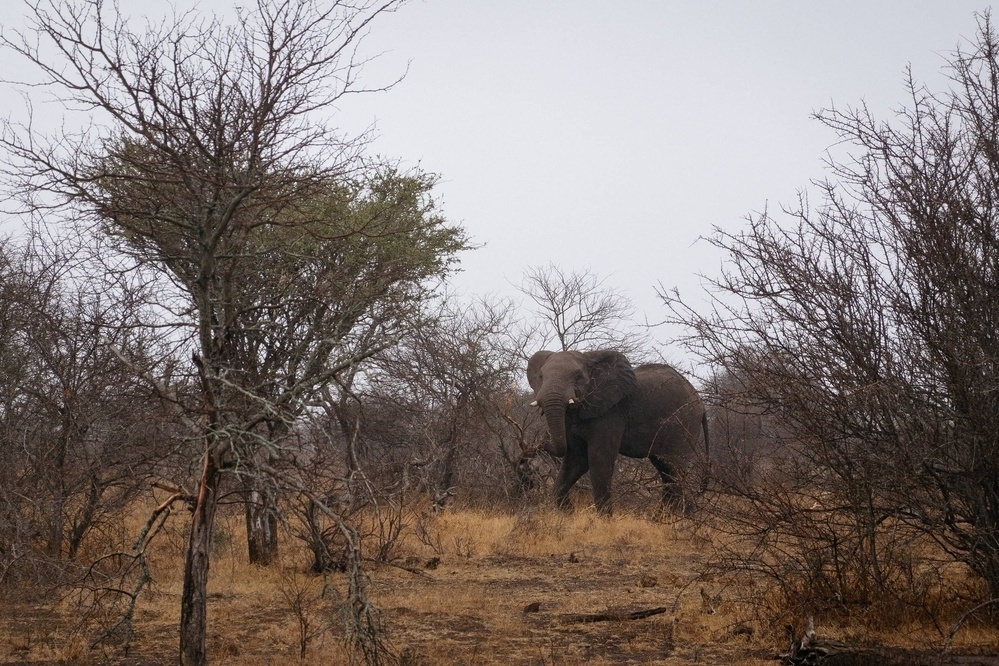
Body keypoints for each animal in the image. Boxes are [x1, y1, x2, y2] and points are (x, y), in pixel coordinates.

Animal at [528, 348, 708, 512]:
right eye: (541, 377)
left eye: (578, 377)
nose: (541, 441)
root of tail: (699, 400)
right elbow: (576, 460)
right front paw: (567, 512)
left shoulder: (611, 413)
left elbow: (598, 459)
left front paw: (604, 519)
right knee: (666, 469)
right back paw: (661, 517)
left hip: (684, 423)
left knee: (676, 467)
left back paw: (681, 517)